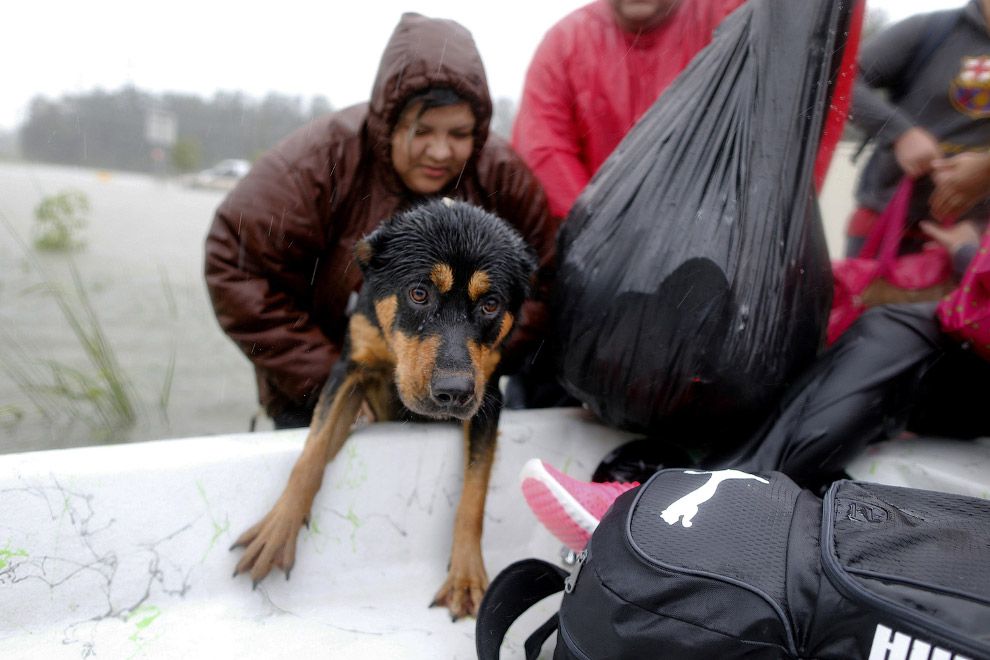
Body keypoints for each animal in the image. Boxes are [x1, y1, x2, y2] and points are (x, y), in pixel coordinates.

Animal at [230, 199, 540, 620]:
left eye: (491, 304)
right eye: (419, 293)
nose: (453, 393)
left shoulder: (488, 398)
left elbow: (474, 495)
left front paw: (465, 576)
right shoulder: (350, 370)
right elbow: (312, 453)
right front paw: (278, 530)